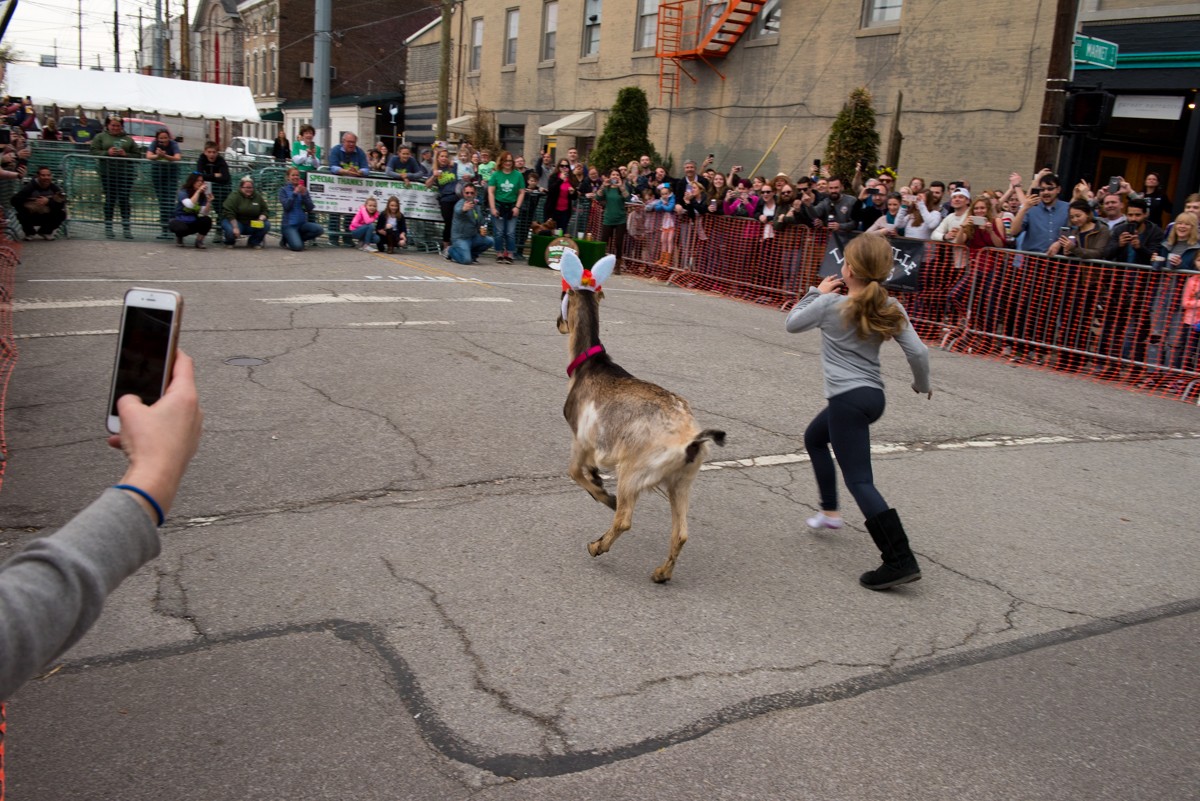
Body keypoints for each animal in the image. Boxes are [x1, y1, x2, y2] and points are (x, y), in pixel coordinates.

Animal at [552, 250, 720, 582]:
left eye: (563, 295)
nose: (558, 323)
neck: (589, 365)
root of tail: (691, 439)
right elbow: (586, 470)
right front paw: (597, 478)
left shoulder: (581, 437)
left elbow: (575, 472)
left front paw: (603, 495)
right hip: (681, 482)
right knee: (681, 532)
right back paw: (661, 573)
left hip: (633, 472)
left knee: (625, 519)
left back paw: (597, 545)